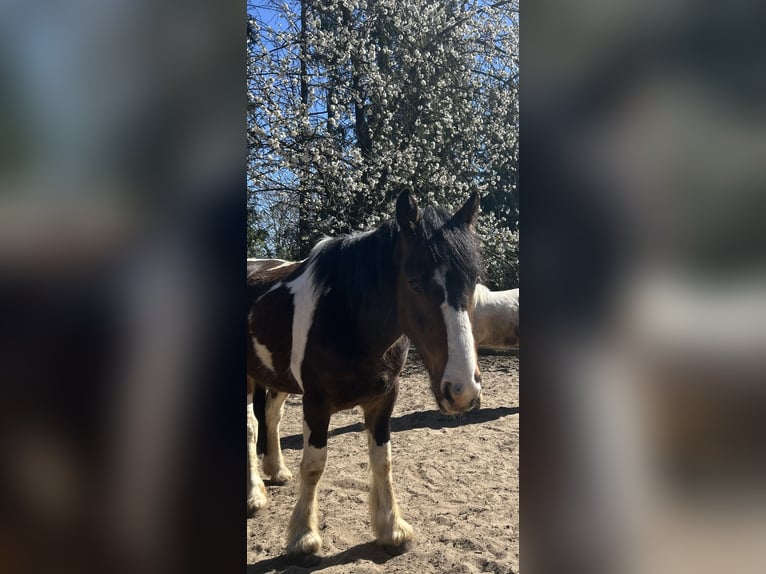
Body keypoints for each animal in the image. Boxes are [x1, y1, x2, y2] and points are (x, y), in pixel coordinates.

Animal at [246, 190, 484, 556]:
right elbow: (314, 465)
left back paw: (276, 470)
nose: (462, 390)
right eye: (414, 284)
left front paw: (391, 529)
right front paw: (303, 536)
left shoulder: (384, 398)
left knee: (270, 416)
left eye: (473, 281)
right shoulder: (316, 403)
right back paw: (254, 495)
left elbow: (382, 461)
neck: (349, 316)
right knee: (250, 426)